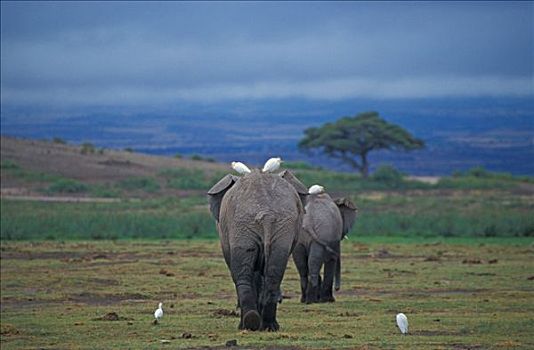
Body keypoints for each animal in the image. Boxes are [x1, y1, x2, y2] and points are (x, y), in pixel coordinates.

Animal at [210, 170, 310, 330]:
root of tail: (266, 213)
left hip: (241, 225)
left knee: (243, 274)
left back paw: (248, 324)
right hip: (278, 226)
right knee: (273, 273)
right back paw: (267, 325)